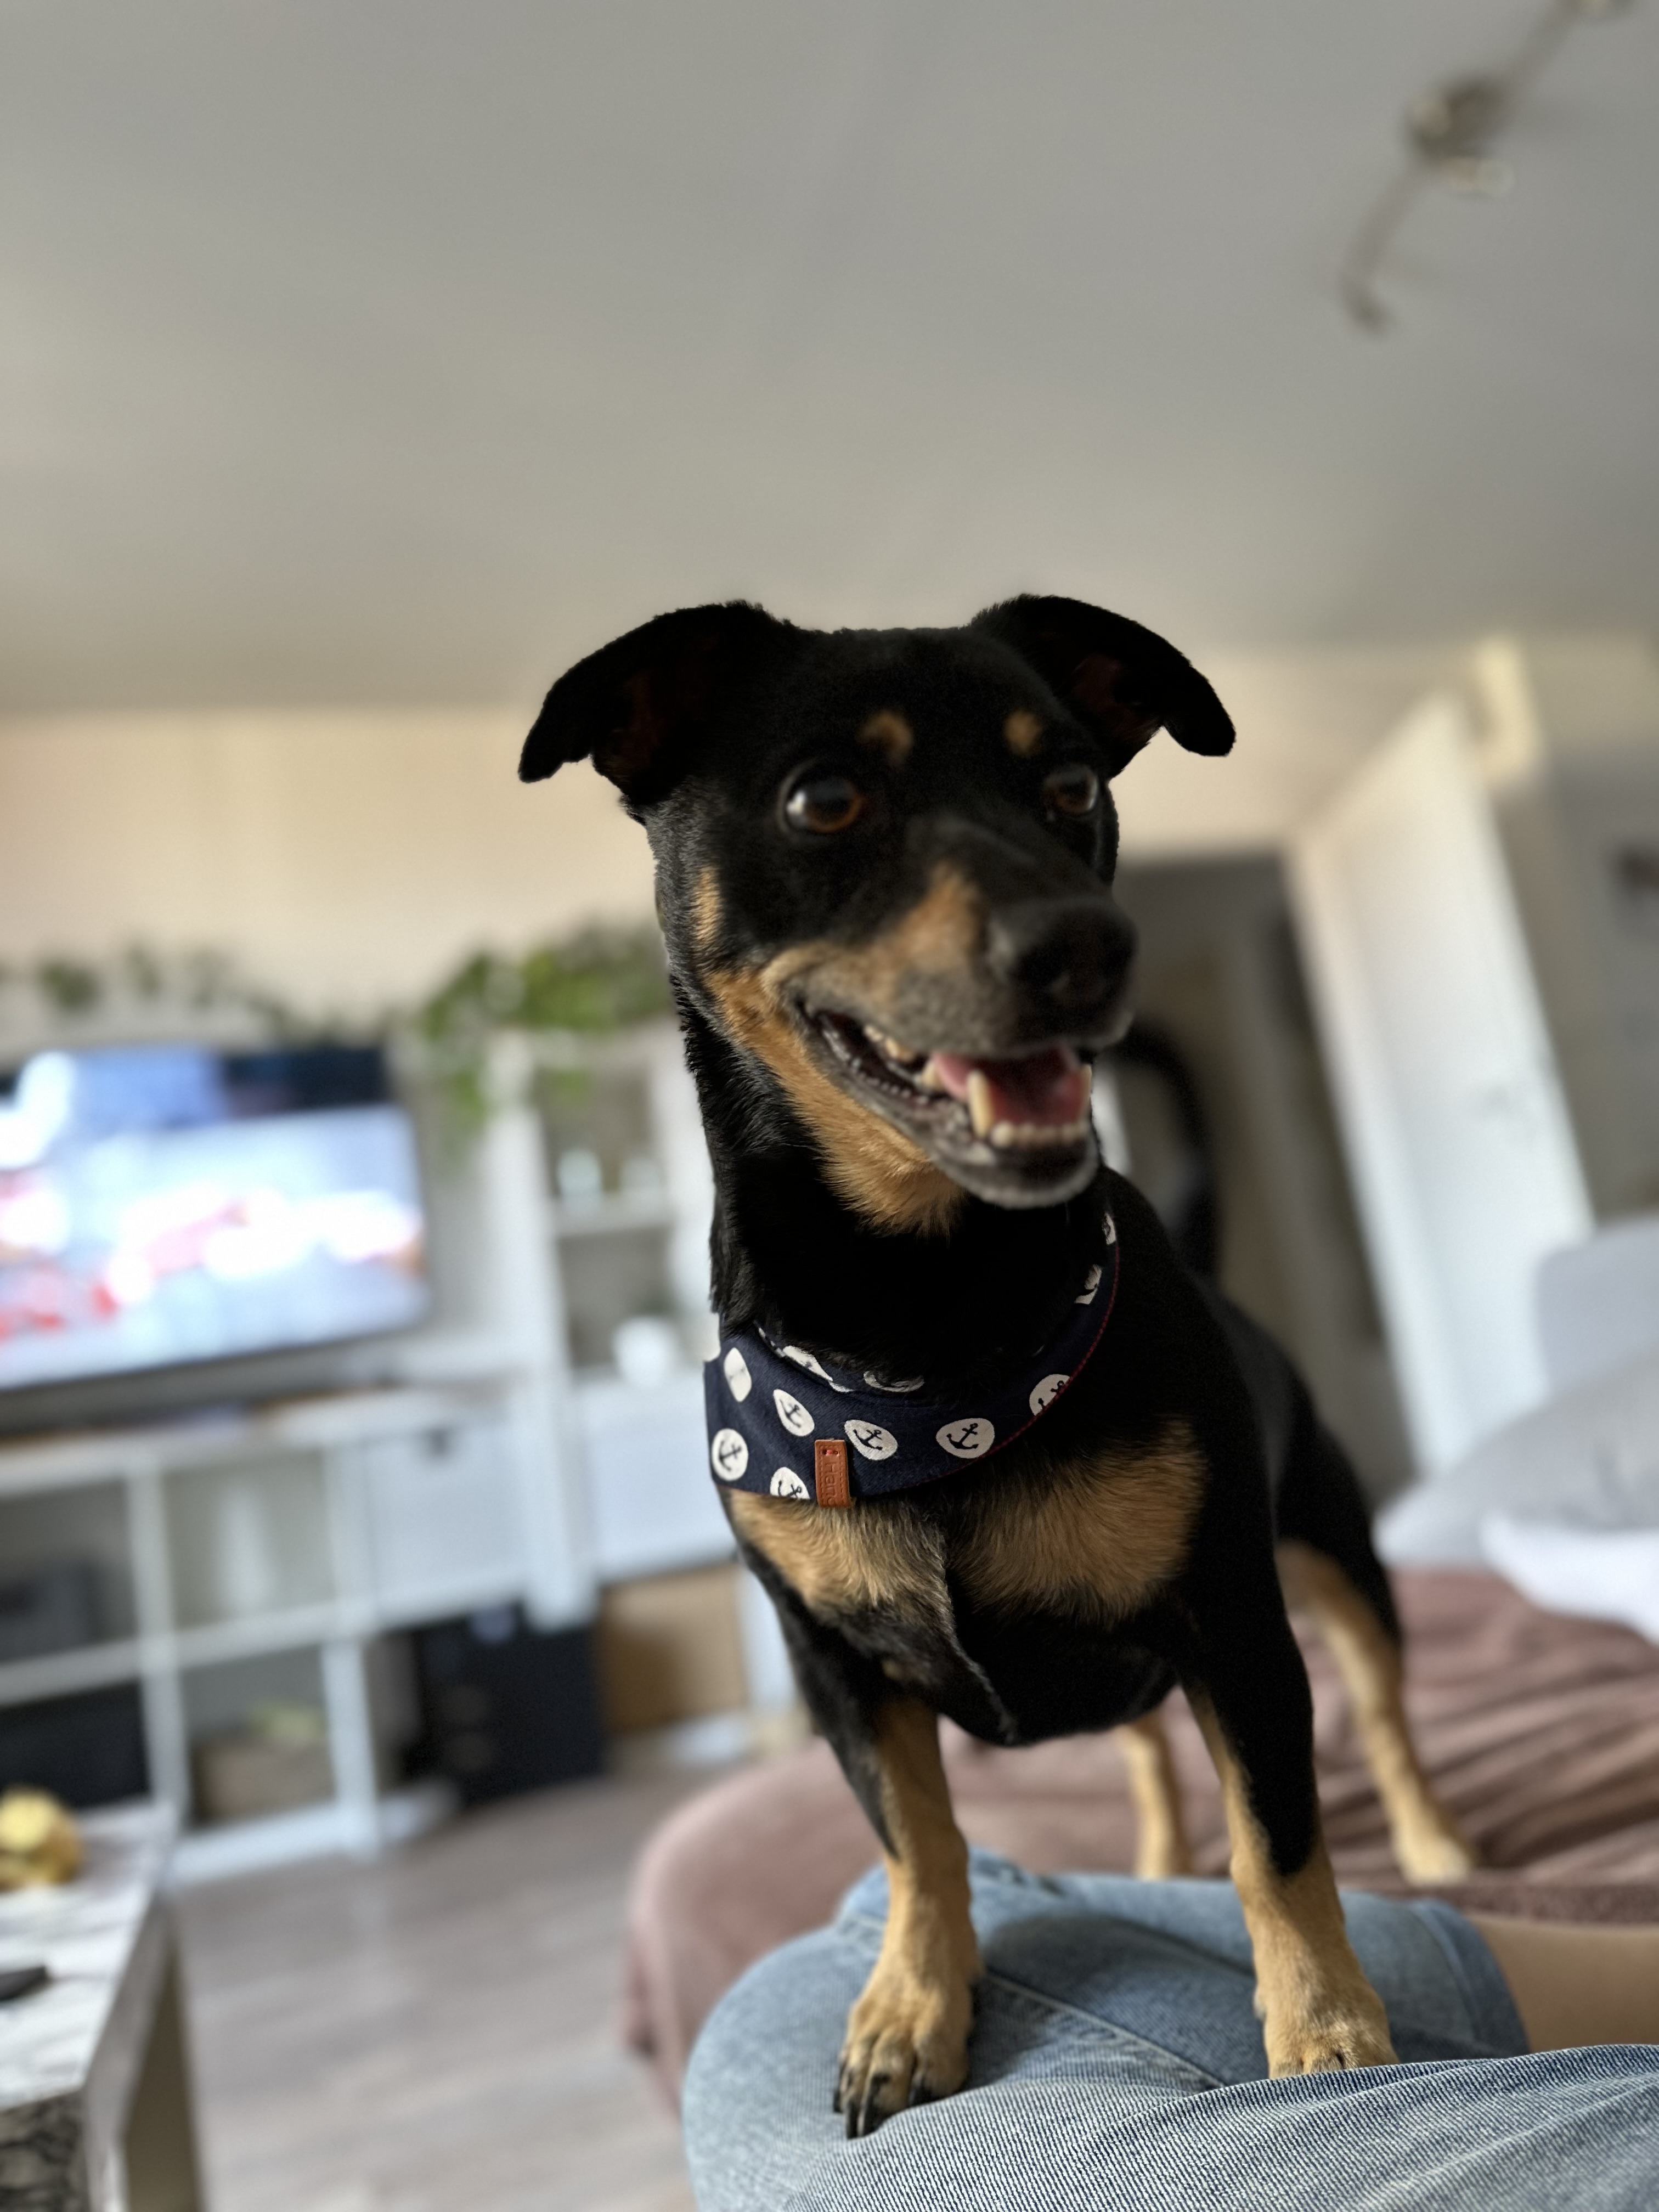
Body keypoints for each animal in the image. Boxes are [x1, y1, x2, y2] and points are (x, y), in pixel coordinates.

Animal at [526, 588, 1477, 2123]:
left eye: (1074, 788)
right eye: (827, 798)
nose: (1091, 950)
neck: (925, 1341)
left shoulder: (1237, 1625)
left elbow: (1278, 1844)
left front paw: (1327, 2037)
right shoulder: (834, 1667)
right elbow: (919, 1844)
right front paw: (911, 2008)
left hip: (1339, 1561)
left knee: (1385, 1719)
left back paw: (1438, 1844)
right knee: (1144, 1752)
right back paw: (1147, 1858)